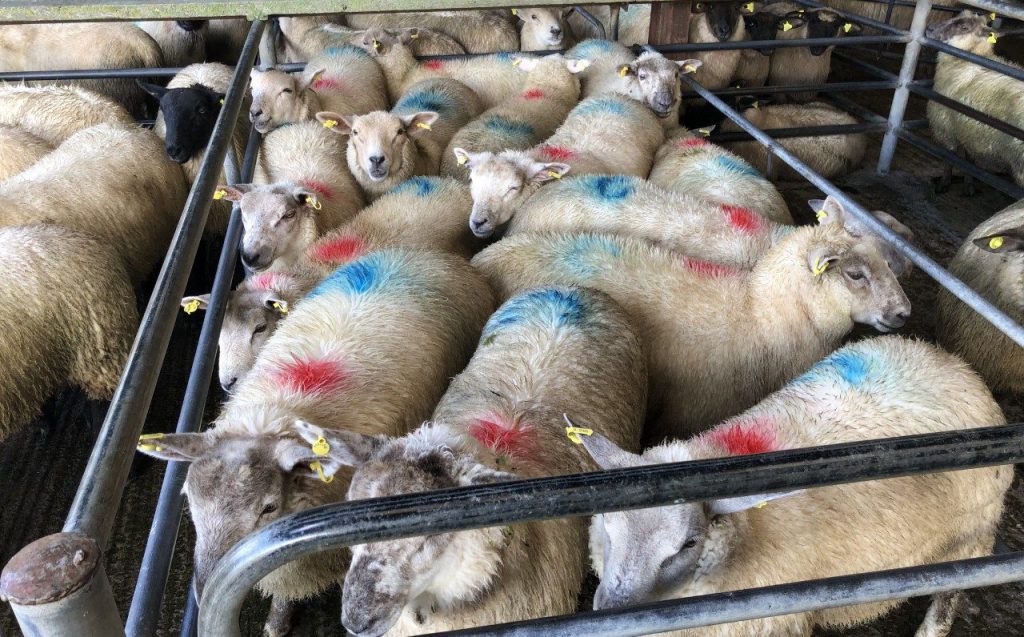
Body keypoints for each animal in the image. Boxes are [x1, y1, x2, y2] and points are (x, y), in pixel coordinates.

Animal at [580, 335, 1012, 637]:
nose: (608, 606)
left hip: (970, 535)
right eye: (608, 525)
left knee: (953, 590)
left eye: (688, 544)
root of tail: (955, 364)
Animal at [927, 12, 1024, 188]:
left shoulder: (945, 125)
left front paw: (945, 182)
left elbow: (949, 157)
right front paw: (969, 184)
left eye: (964, 27)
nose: (929, 28)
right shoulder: (968, 127)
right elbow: (969, 160)